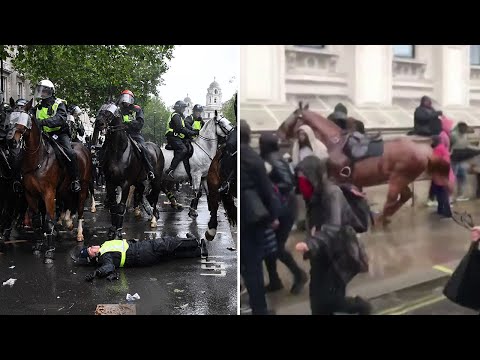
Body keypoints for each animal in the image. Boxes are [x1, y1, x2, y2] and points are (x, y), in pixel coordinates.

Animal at [12, 100, 93, 262]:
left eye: (24, 120)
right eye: (10, 117)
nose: (12, 141)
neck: (37, 159)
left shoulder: (48, 193)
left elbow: (49, 220)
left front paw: (49, 251)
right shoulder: (31, 194)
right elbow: (37, 219)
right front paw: (38, 245)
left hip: (83, 187)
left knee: (80, 209)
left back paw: (79, 233)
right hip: (65, 189)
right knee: (68, 203)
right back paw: (67, 222)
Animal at [278, 102, 450, 225]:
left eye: (293, 115)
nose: (279, 133)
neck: (335, 143)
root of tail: (425, 150)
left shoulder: (338, 179)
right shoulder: (353, 181)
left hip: (399, 178)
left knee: (393, 198)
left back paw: (381, 219)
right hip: (402, 178)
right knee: (405, 196)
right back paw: (385, 217)